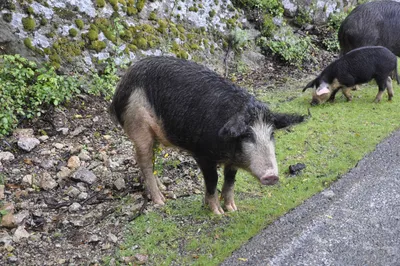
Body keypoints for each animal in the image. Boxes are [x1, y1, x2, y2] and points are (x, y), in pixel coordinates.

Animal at [109, 56, 304, 214]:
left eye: (271, 133)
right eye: (247, 135)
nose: (272, 176)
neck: (228, 150)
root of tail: (121, 87)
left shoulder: (231, 162)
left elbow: (230, 180)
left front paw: (232, 209)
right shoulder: (202, 154)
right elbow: (212, 180)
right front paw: (218, 212)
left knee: (152, 160)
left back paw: (164, 190)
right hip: (138, 126)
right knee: (144, 162)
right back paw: (161, 201)